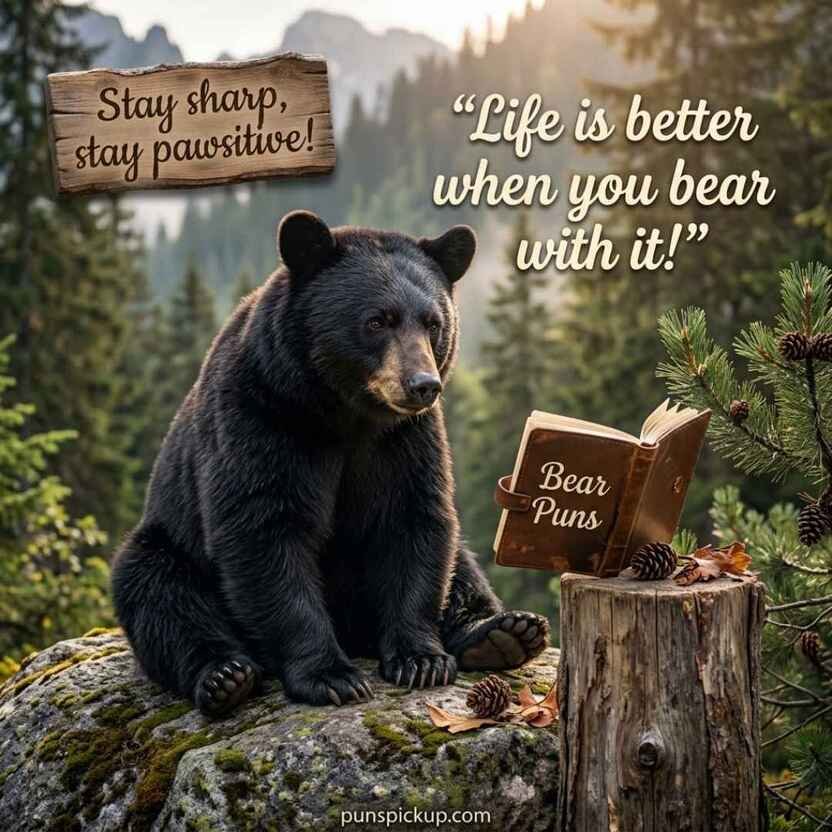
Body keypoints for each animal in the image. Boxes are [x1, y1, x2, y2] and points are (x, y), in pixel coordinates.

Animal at [112, 211, 549, 716]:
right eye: (377, 320)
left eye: (433, 322)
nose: (423, 384)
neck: (345, 413)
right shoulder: (261, 419)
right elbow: (265, 531)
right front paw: (330, 676)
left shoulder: (406, 440)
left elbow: (415, 523)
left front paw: (420, 659)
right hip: (167, 542)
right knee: (160, 595)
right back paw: (225, 676)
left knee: (461, 565)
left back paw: (503, 634)